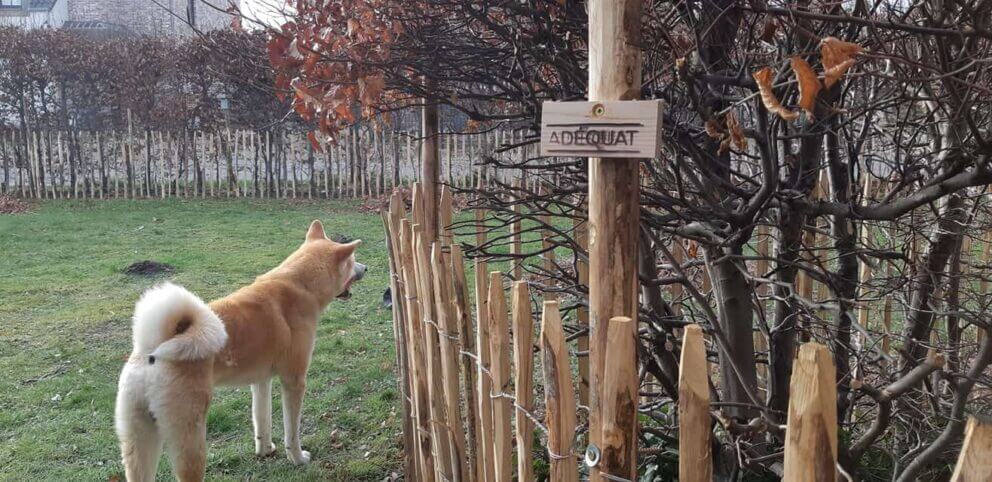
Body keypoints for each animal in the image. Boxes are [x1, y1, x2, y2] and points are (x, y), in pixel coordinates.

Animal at [113, 220, 364, 480]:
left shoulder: (261, 381)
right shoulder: (293, 381)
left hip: (140, 444)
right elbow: (291, 432)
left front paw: (265, 450)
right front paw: (297, 459)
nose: (365, 268)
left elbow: (262, 421)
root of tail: (150, 351)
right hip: (190, 443)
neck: (300, 285)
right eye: (353, 260)